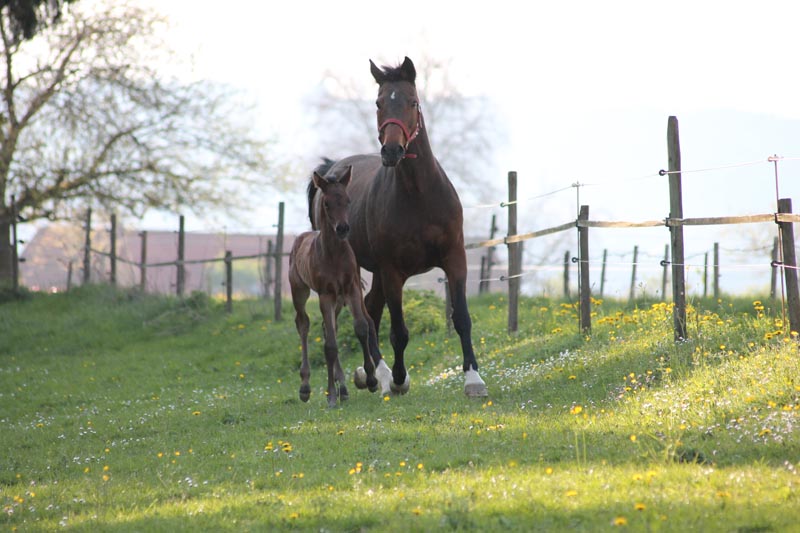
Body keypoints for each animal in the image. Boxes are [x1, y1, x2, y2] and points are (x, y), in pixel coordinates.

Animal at [290, 164, 378, 406]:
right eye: (327, 203)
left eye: (348, 200)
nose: (343, 228)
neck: (335, 255)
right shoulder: (325, 294)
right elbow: (329, 346)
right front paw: (330, 396)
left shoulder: (351, 289)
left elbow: (362, 328)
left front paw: (371, 380)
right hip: (299, 291)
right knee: (303, 324)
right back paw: (306, 387)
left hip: (339, 300)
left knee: (331, 328)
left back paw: (344, 388)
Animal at [308, 57, 488, 400]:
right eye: (379, 103)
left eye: (413, 102)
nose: (392, 151)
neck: (418, 196)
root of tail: (330, 170)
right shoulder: (392, 270)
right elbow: (399, 332)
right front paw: (399, 379)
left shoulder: (455, 259)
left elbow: (462, 318)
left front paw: (473, 379)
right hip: (360, 269)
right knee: (365, 317)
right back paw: (379, 375)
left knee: (370, 309)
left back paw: (369, 375)